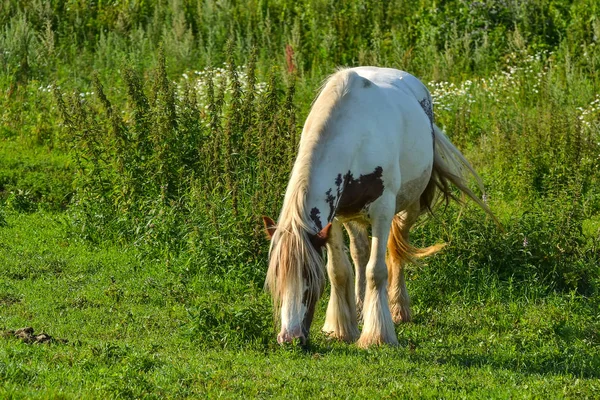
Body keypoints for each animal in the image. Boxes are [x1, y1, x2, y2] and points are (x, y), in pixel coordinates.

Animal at [262, 65, 496, 346]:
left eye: (309, 276)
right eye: (277, 277)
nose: (290, 338)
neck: (352, 134)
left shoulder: (382, 211)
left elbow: (377, 270)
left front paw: (377, 336)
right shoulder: (334, 218)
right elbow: (339, 270)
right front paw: (341, 328)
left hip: (409, 206)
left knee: (396, 248)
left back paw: (398, 309)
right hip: (353, 215)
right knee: (360, 254)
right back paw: (361, 309)